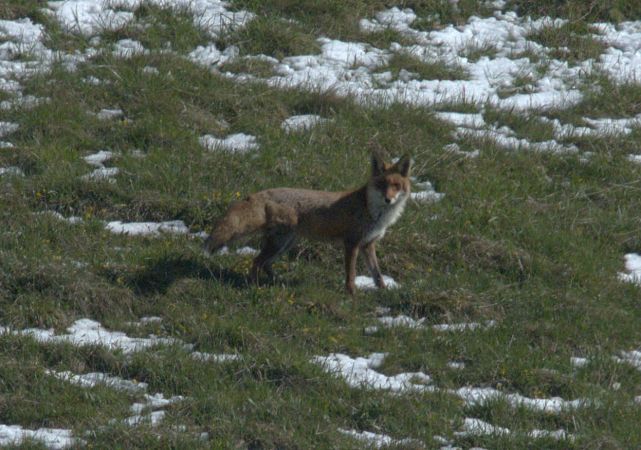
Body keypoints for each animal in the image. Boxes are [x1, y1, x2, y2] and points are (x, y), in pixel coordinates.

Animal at [203, 153, 412, 295]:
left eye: (396, 186)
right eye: (381, 185)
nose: (388, 200)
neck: (373, 212)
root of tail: (264, 192)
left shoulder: (368, 244)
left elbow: (377, 273)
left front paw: (384, 291)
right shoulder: (351, 243)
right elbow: (350, 273)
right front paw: (351, 293)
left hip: (286, 244)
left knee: (265, 264)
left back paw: (278, 281)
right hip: (280, 243)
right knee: (257, 262)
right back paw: (254, 286)